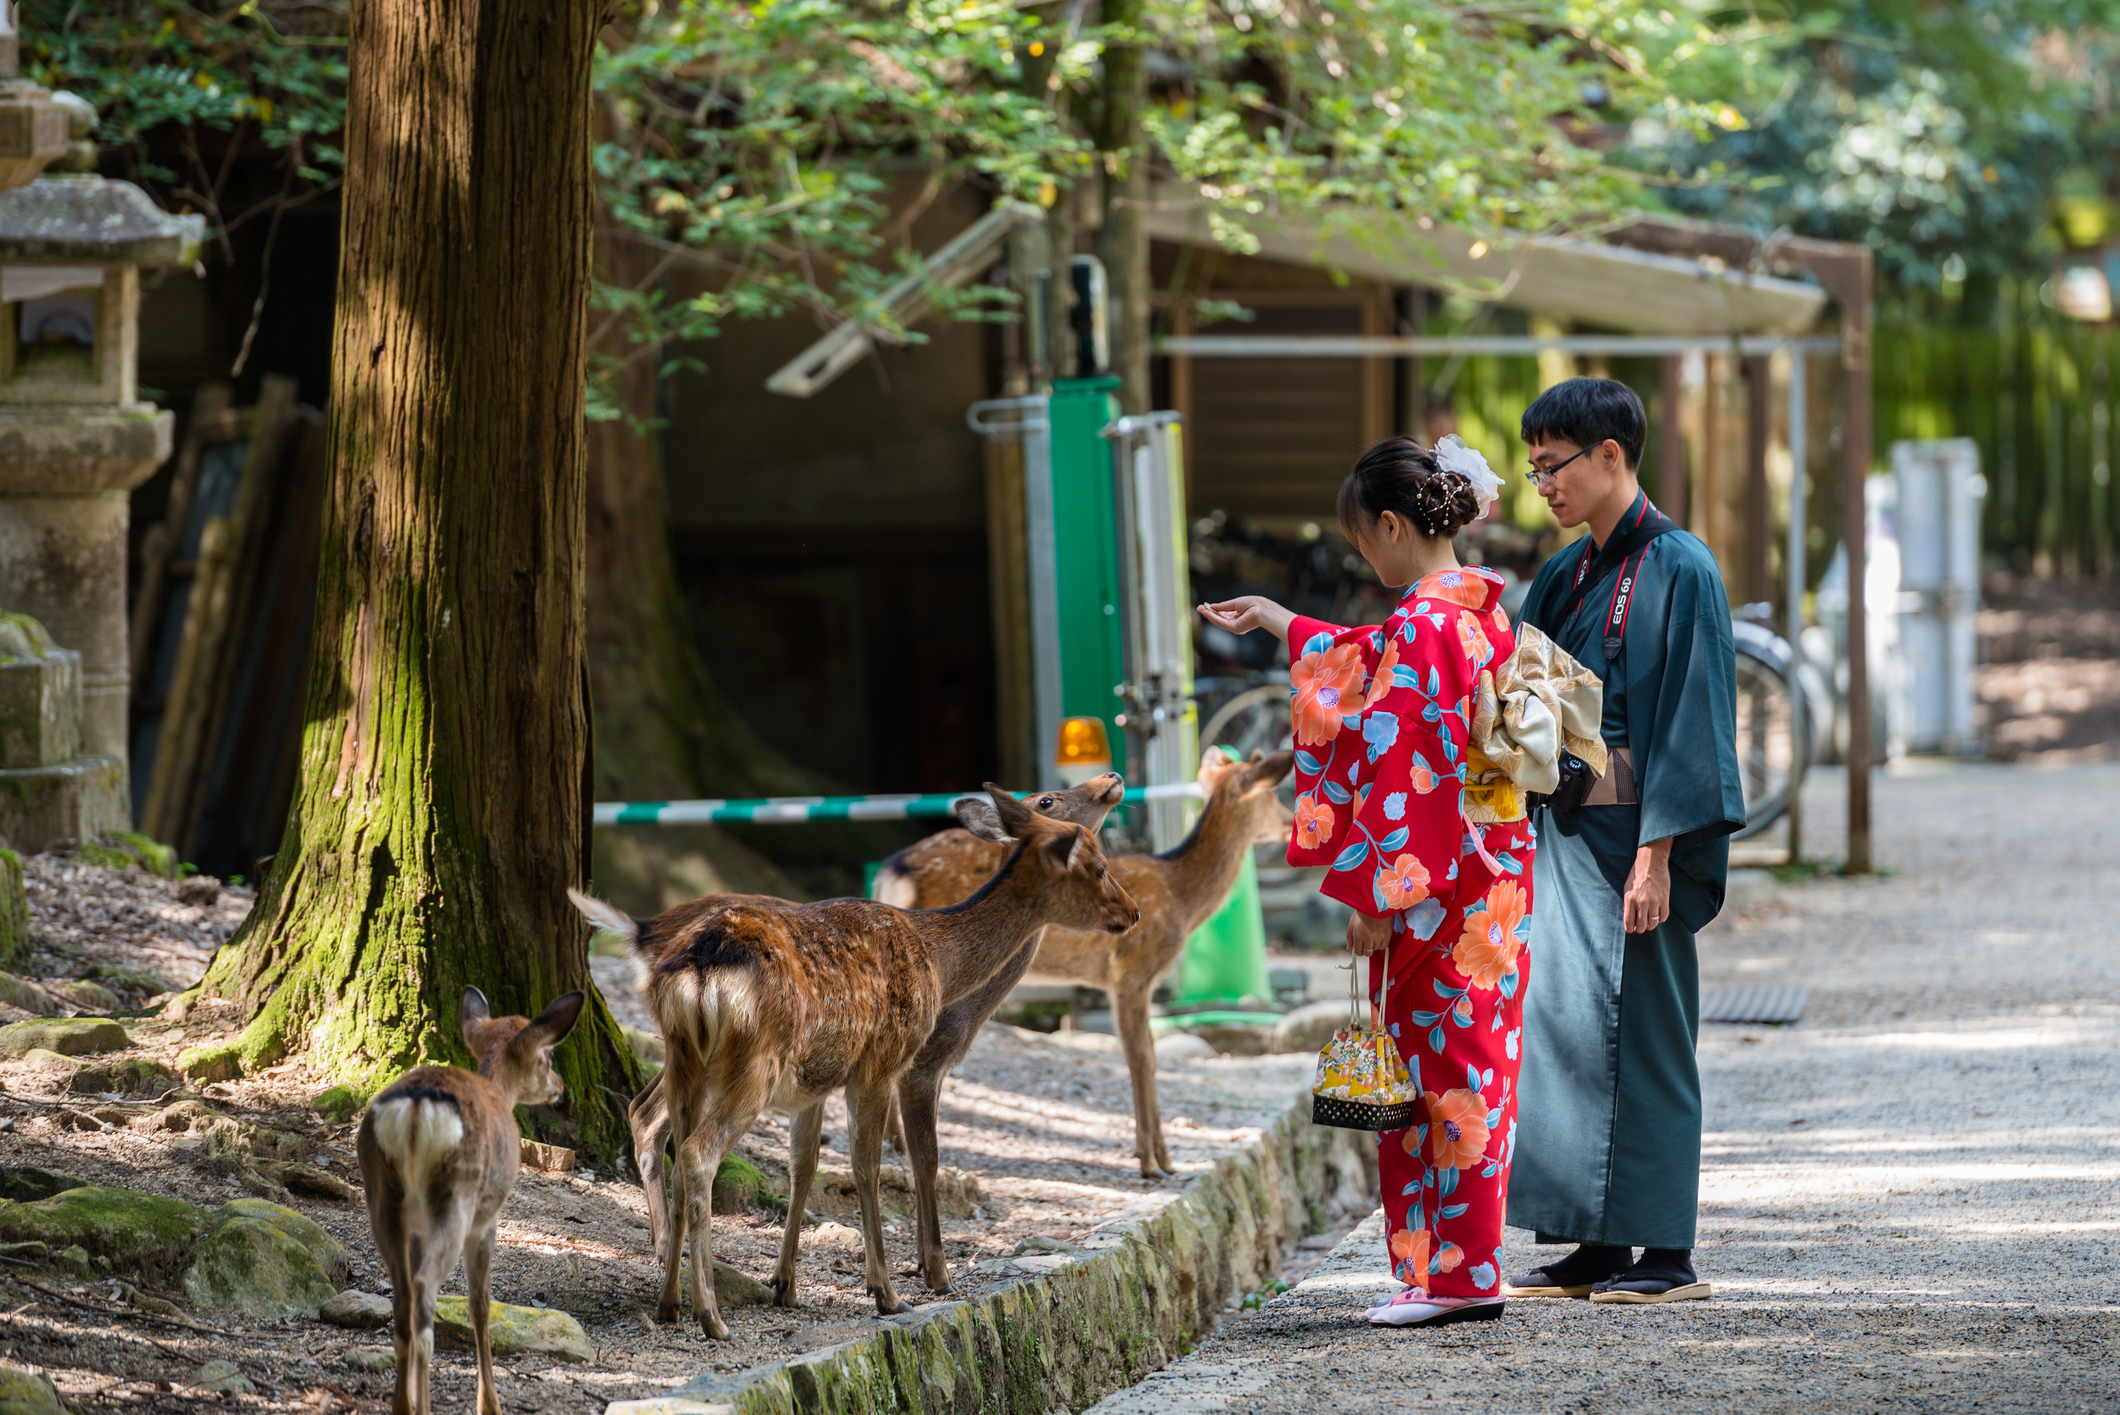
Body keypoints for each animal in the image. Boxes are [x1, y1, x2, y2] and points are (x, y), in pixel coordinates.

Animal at [358, 984, 585, 1415]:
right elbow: (480, 1304)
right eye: (548, 1056)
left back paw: (403, 1406)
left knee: (402, 1303)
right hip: (458, 1195)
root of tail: (416, 1108)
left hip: (382, 1195)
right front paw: (489, 1405)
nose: (562, 1087)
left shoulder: (417, 1227)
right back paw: (423, 1408)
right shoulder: (488, 1219)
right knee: (424, 1292)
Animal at [559, 784, 1127, 1340]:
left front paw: (785, 1286)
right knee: (697, 1153)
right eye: (1098, 865)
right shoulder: (885, 1063)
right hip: (754, 1067)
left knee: (662, 1132)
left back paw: (669, 1300)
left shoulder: (815, 1080)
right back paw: (711, 1316)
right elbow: (871, 1165)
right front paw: (892, 1292)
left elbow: (804, 1163)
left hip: (686, 1058)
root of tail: (686, 958)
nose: (1132, 911)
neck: (937, 959)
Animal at [873, 750, 1288, 1188]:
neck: (1183, 899)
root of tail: (890, 872)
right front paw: (1153, 1161)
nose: (1292, 822)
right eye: (1273, 793)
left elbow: (1148, 1052)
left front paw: (1160, 1157)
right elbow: (1142, 1058)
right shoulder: (1133, 970)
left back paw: (893, 1142)